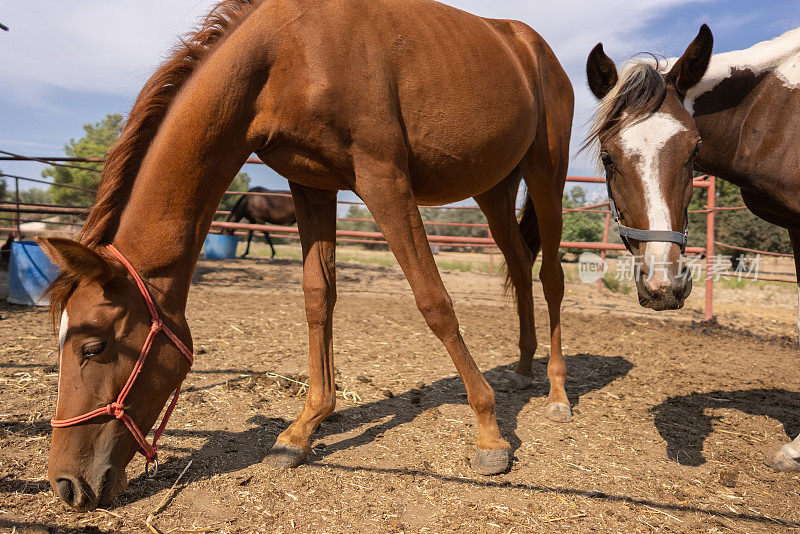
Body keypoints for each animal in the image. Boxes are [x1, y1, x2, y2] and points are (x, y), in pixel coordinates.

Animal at [39, 0, 576, 510]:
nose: (67, 485)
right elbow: (318, 297)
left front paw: (490, 435)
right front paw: (302, 430)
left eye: (94, 347)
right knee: (519, 264)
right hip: (495, 188)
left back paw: (556, 393)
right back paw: (522, 369)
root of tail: (532, 46)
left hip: (547, 172)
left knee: (551, 277)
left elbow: (434, 302)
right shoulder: (311, 183)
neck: (290, 51)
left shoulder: (383, 178)